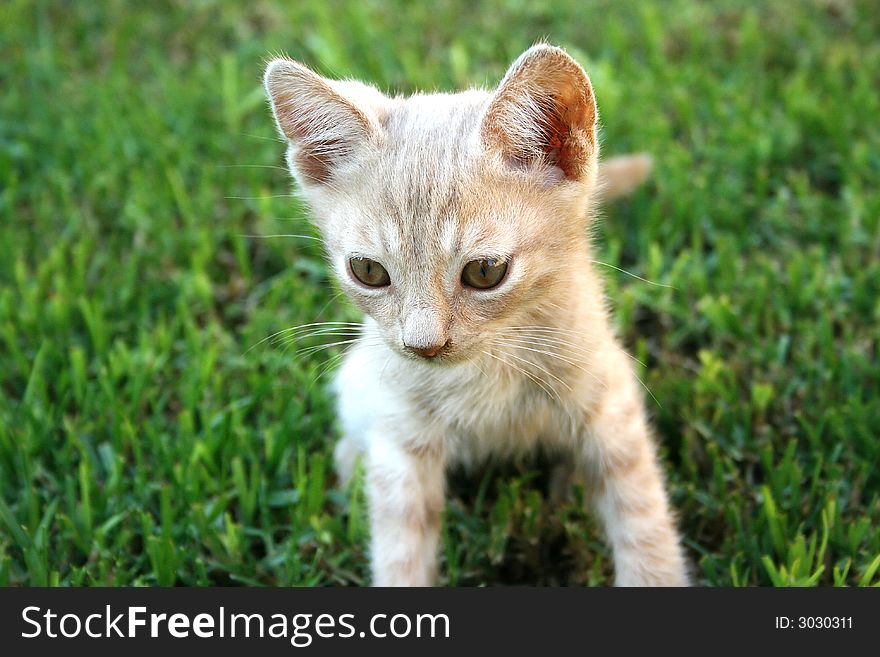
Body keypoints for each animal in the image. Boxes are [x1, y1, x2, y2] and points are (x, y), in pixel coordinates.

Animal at [264, 43, 692, 584]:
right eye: (368, 271)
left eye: (485, 272)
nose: (423, 344)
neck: (490, 367)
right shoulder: (401, 432)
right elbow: (402, 545)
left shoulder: (610, 398)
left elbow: (642, 516)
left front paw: (653, 570)